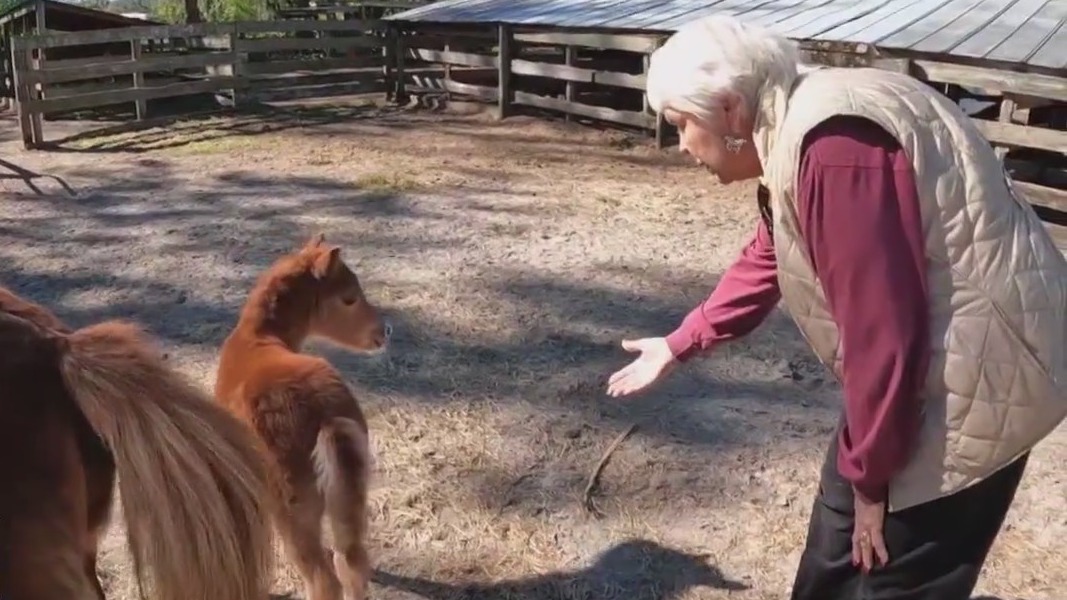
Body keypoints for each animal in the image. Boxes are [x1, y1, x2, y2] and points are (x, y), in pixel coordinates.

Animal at [214, 233, 390, 600]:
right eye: (349, 298)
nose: (385, 332)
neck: (258, 338)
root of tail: (327, 419)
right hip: (349, 493)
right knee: (351, 560)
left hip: (293, 511)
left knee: (324, 579)